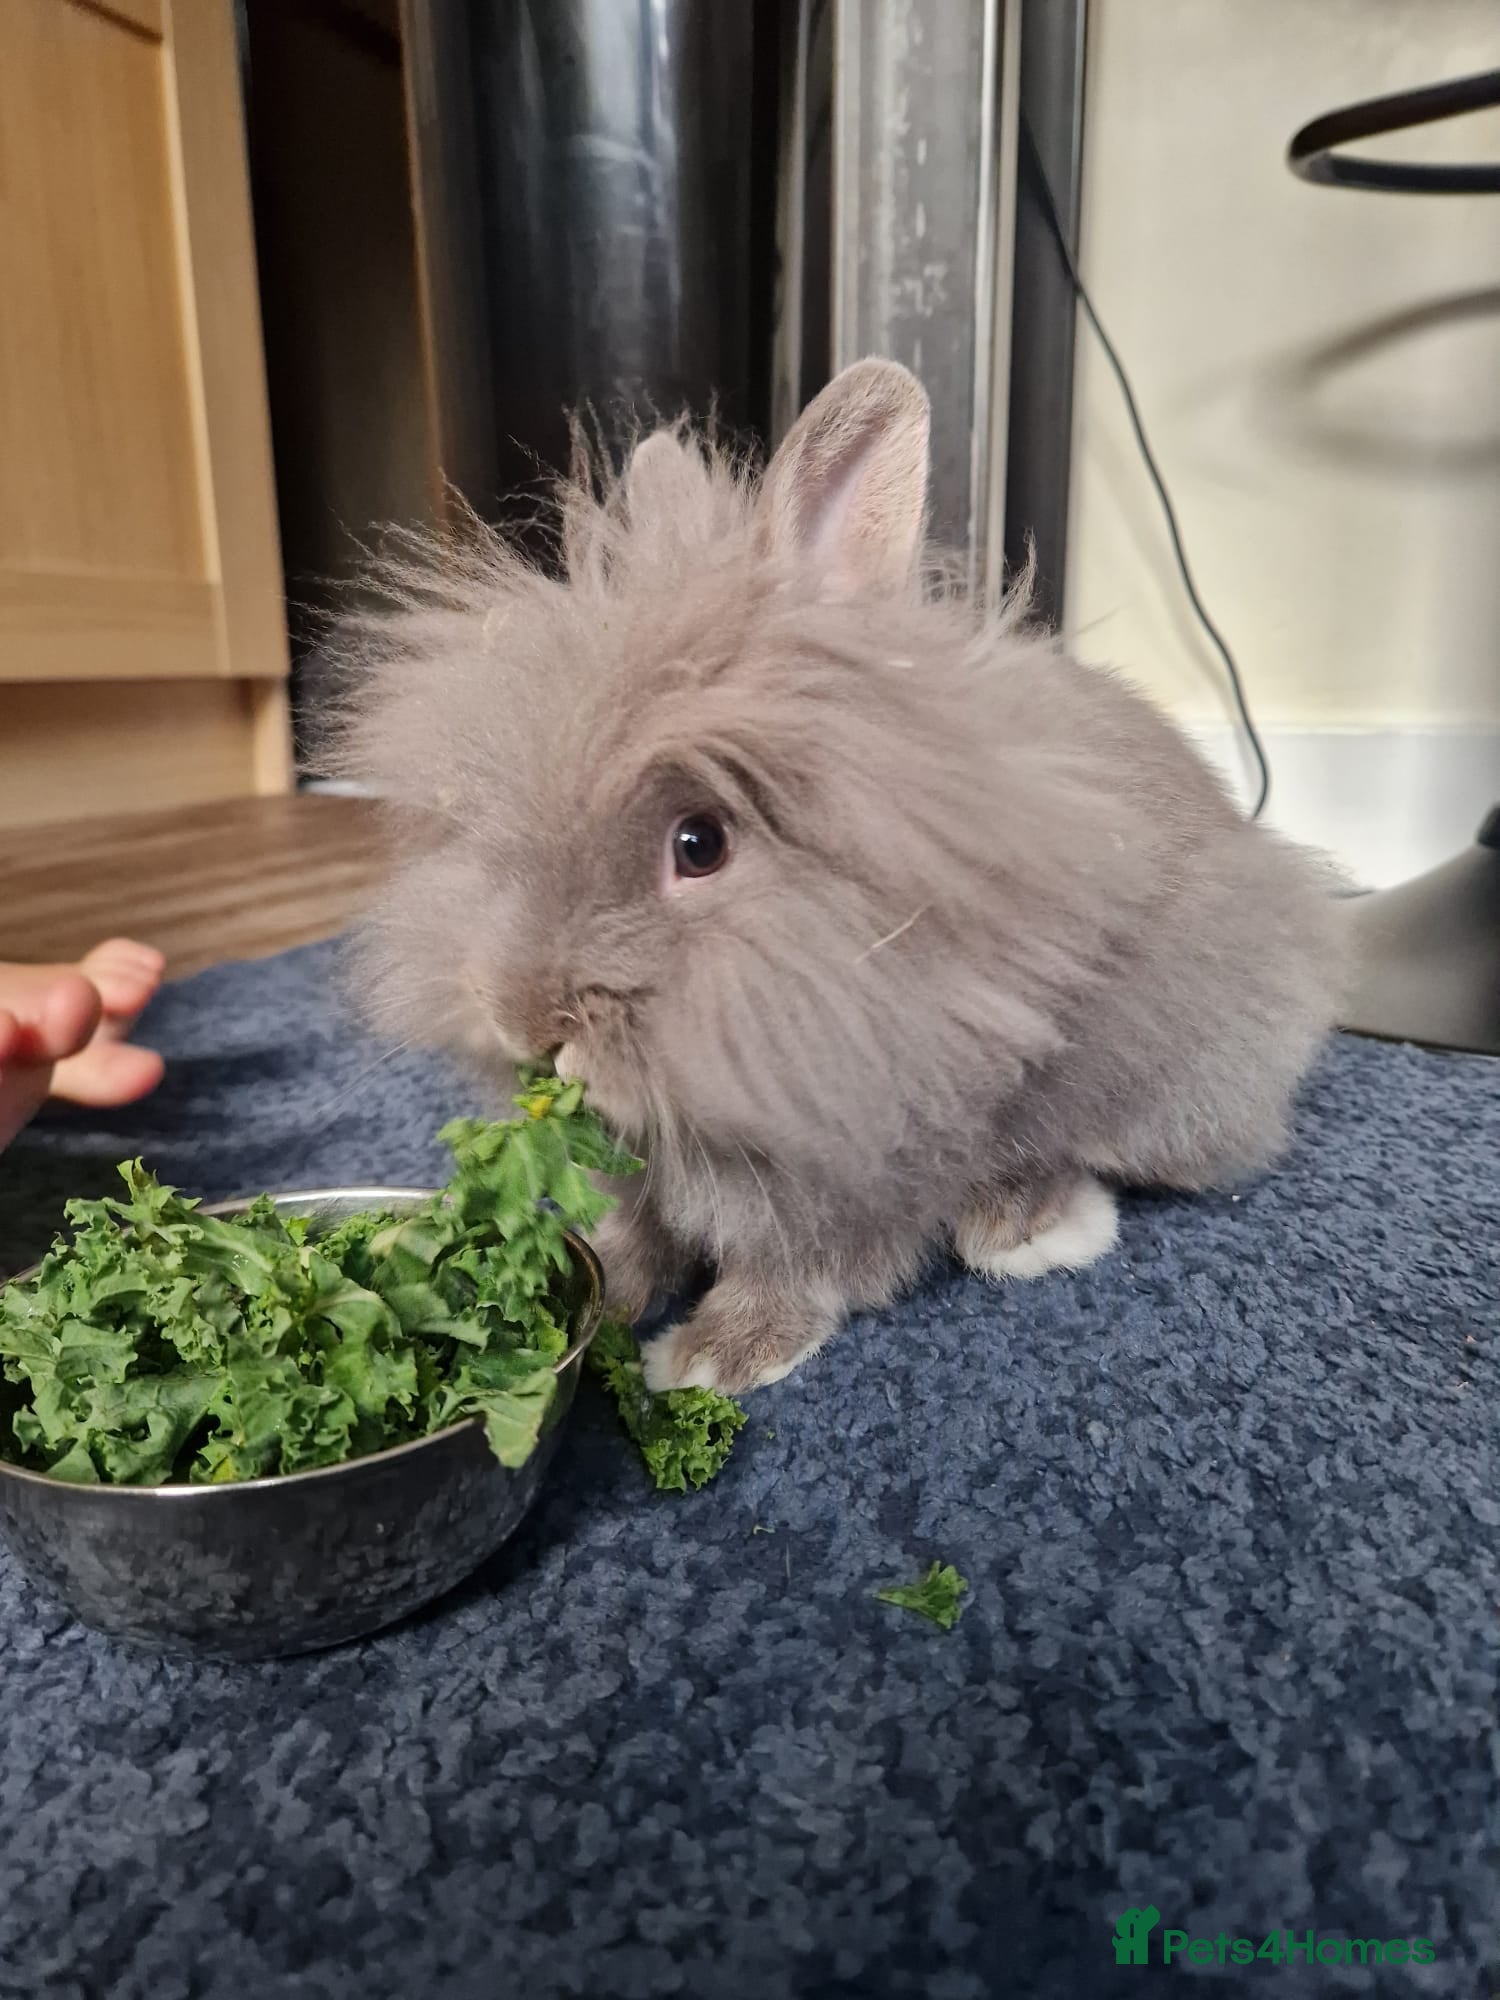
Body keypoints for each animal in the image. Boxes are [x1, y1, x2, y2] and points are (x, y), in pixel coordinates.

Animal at [331, 358, 1348, 1395]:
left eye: (699, 844)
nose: (524, 1023)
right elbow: (636, 1231)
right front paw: (597, 1295)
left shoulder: (858, 1158)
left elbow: (799, 1264)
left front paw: (711, 1356)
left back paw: (1026, 1226)